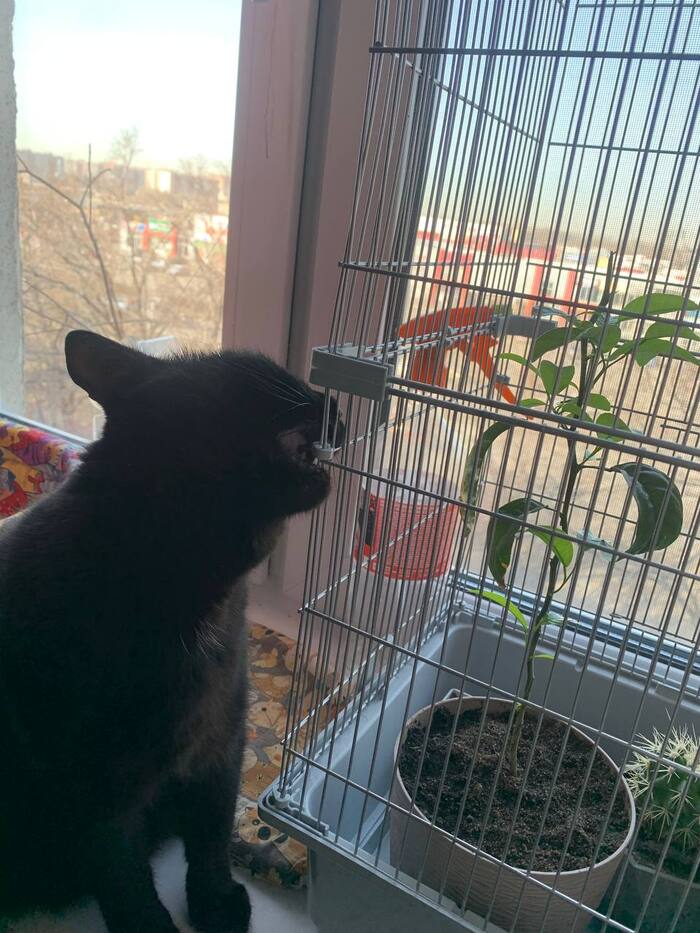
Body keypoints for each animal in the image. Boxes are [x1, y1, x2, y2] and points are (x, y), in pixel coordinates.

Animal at [0, 331, 343, 933]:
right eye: (279, 380)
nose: (337, 405)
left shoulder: (223, 740)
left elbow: (210, 836)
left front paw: (216, 902)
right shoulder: (96, 790)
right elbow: (125, 879)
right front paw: (153, 925)